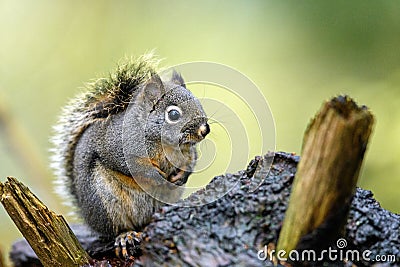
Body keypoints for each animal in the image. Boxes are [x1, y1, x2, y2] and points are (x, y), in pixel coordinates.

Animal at [50, 54, 209, 258]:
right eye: (173, 114)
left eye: (199, 103)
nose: (205, 129)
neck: (164, 144)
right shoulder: (117, 146)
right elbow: (132, 166)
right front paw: (156, 176)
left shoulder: (188, 153)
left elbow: (191, 163)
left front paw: (182, 175)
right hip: (106, 204)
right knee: (117, 228)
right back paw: (125, 236)